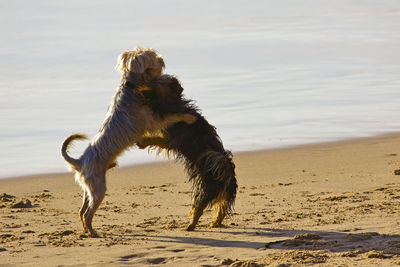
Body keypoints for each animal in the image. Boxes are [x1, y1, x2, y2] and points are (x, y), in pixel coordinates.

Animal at [60, 47, 195, 238]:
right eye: (152, 56)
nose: (162, 58)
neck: (132, 87)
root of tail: (79, 162)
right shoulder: (152, 120)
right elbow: (172, 116)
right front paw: (189, 117)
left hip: (89, 189)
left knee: (81, 211)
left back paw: (86, 230)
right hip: (98, 188)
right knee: (87, 213)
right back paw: (93, 232)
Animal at [138, 75, 238, 230]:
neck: (172, 103)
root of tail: (226, 175)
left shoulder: (171, 139)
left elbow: (156, 138)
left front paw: (142, 141)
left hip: (204, 189)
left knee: (198, 208)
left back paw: (190, 225)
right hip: (224, 194)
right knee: (221, 207)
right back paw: (215, 223)